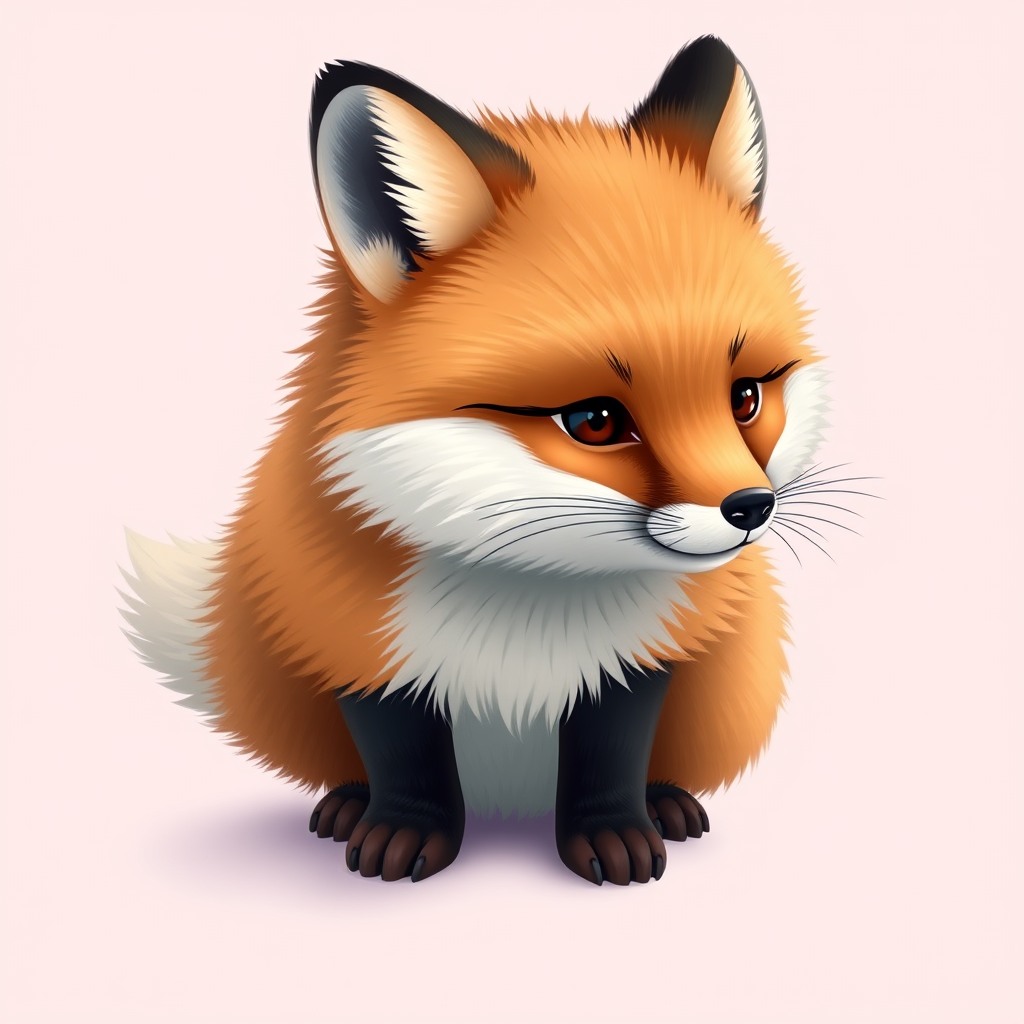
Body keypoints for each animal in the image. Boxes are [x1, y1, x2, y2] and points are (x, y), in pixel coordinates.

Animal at [122, 35, 834, 886]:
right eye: (595, 421)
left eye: (745, 398)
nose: (750, 508)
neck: (526, 602)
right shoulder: (354, 640)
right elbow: (404, 756)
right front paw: (402, 830)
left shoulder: (641, 659)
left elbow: (610, 757)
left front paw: (614, 832)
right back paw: (345, 806)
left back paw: (666, 802)